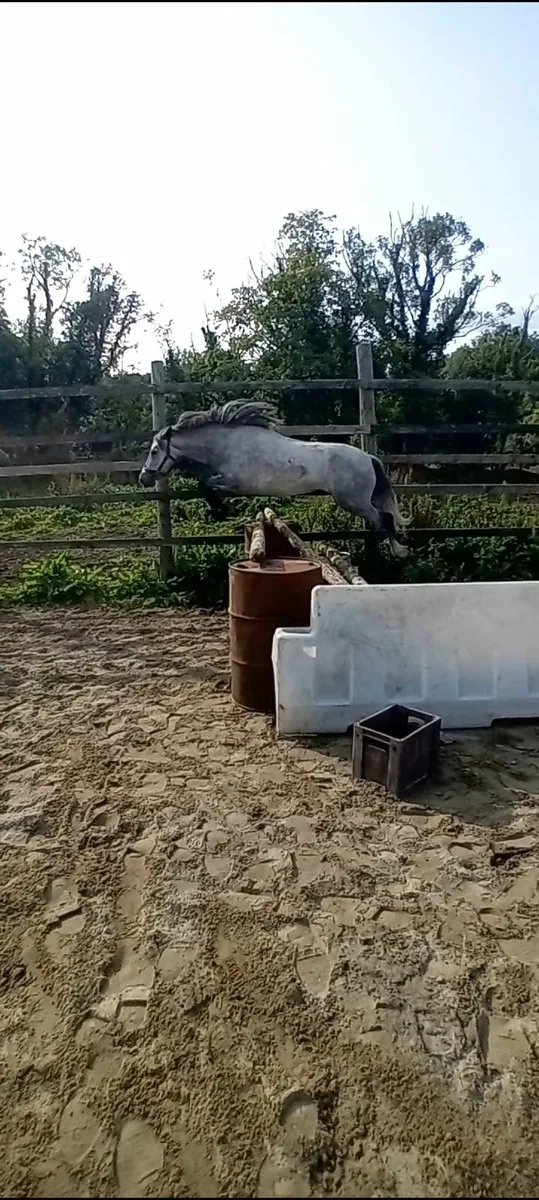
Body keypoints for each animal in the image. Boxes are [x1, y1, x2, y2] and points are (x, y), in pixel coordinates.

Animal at [138, 400, 410, 557]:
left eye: (155, 451)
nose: (143, 478)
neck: (227, 445)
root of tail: (368, 458)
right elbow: (205, 485)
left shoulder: (235, 482)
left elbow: (206, 486)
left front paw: (221, 509)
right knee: (379, 521)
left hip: (353, 501)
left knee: (384, 518)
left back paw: (400, 552)